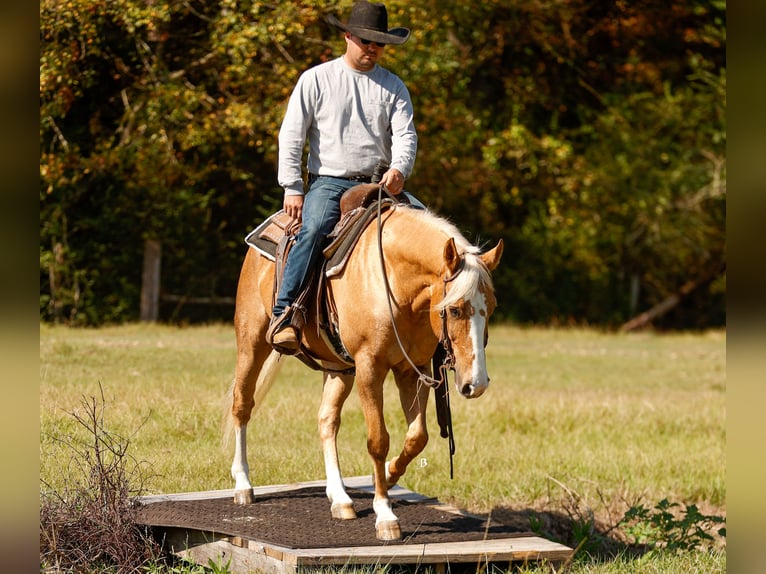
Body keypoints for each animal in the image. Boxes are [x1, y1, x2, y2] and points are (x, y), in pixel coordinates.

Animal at [226, 191, 503, 541]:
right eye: (454, 309)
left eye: (491, 308)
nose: (476, 384)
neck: (394, 283)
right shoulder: (370, 368)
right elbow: (378, 440)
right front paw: (384, 514)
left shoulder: (412, 370)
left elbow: (418, 436)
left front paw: (386, 475)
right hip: (251, 342)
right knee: (242, 405)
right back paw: (243, 484)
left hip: (339, 367)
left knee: (327, 420)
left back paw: (340, 498)